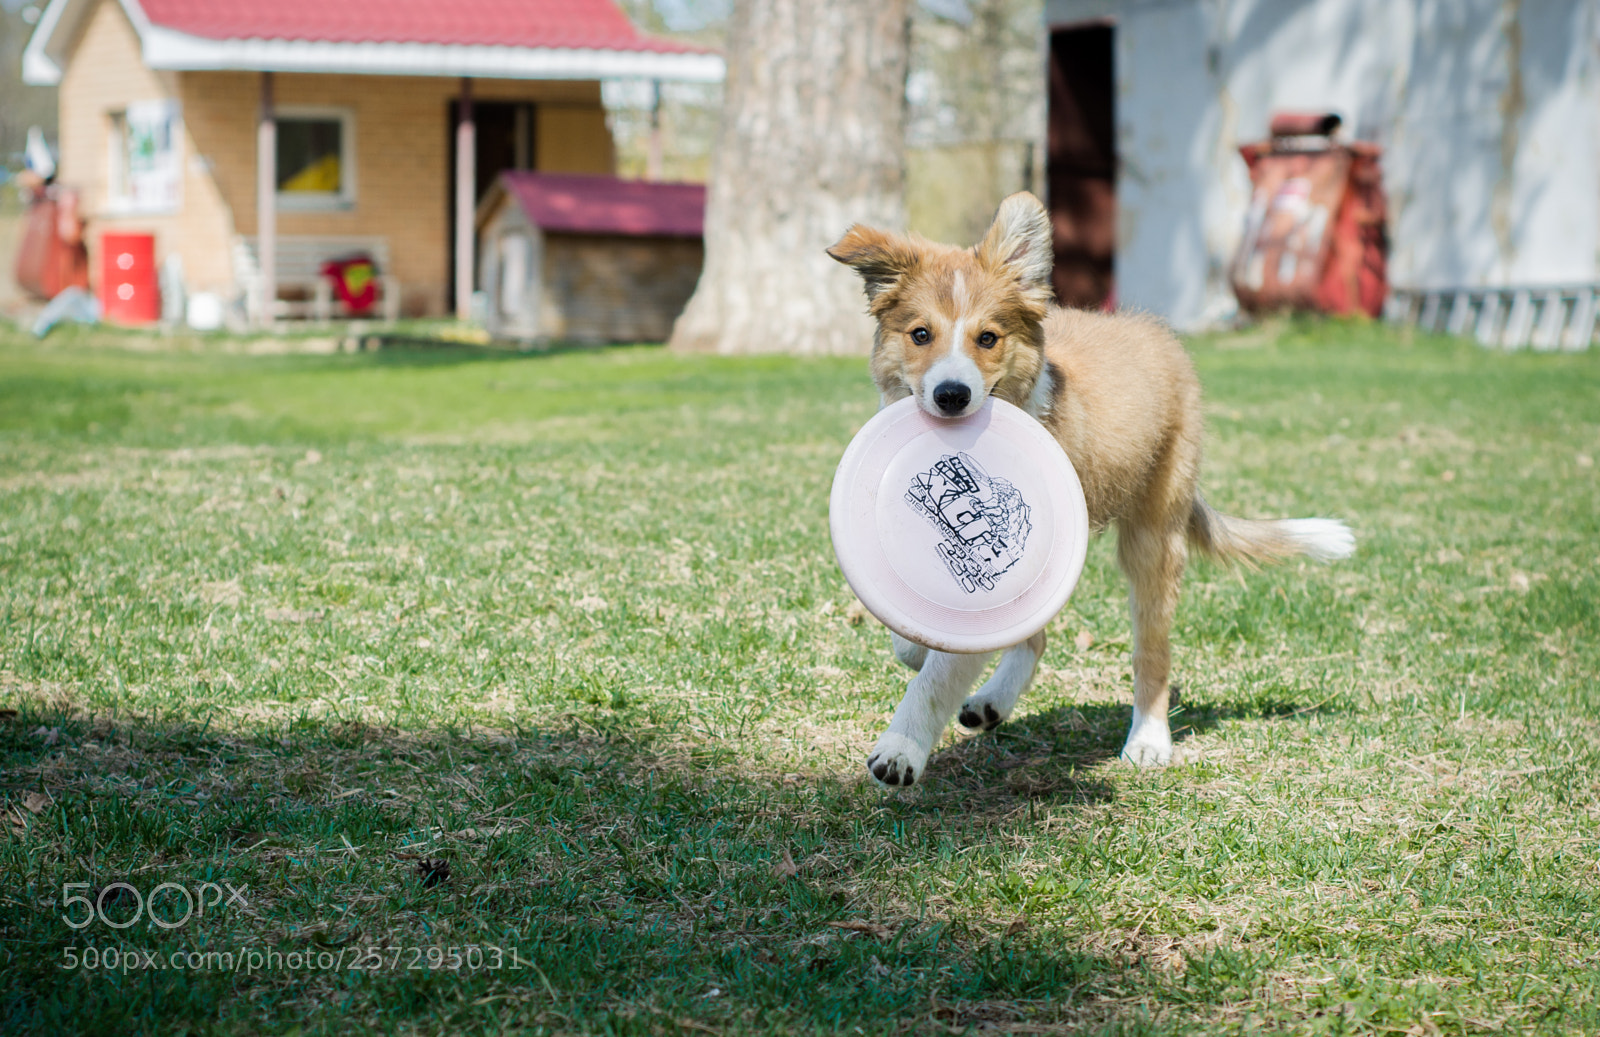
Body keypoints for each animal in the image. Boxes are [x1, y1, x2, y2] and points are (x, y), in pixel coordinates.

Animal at [832, 190, 1356, 787]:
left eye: (987, 338)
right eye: (920, 335)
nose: (951, 395)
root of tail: (1160, 335)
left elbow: (938, 674)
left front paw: (901, 747)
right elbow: (917, 638)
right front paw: (914, 649)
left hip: (1153, 541)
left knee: (1152, 657)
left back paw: (1148, 739)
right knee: (1035, 637)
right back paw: (992, 701)